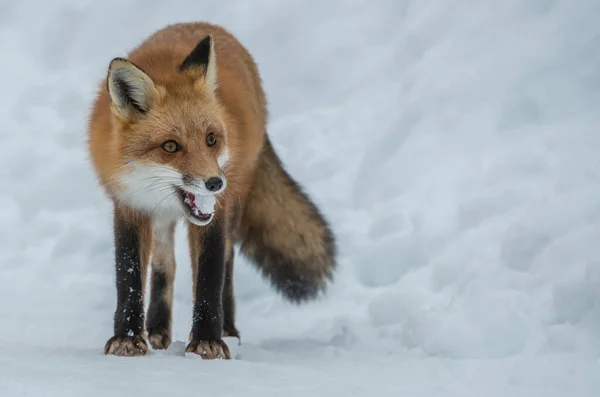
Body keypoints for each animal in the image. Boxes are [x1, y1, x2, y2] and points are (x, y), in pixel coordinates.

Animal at [86, 22, 336, 358]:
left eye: (211, 139)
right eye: (170, 146)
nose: (215, 182)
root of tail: (205, 25)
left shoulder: (215, 212)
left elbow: (209, 276)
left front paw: (207, 341)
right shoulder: (129, 204)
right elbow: (130, 276)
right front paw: (127, 338)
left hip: (233, 207)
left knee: (226, 265)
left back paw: (227, 330)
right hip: (163, 219)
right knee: (166, 265)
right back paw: (158, 330)